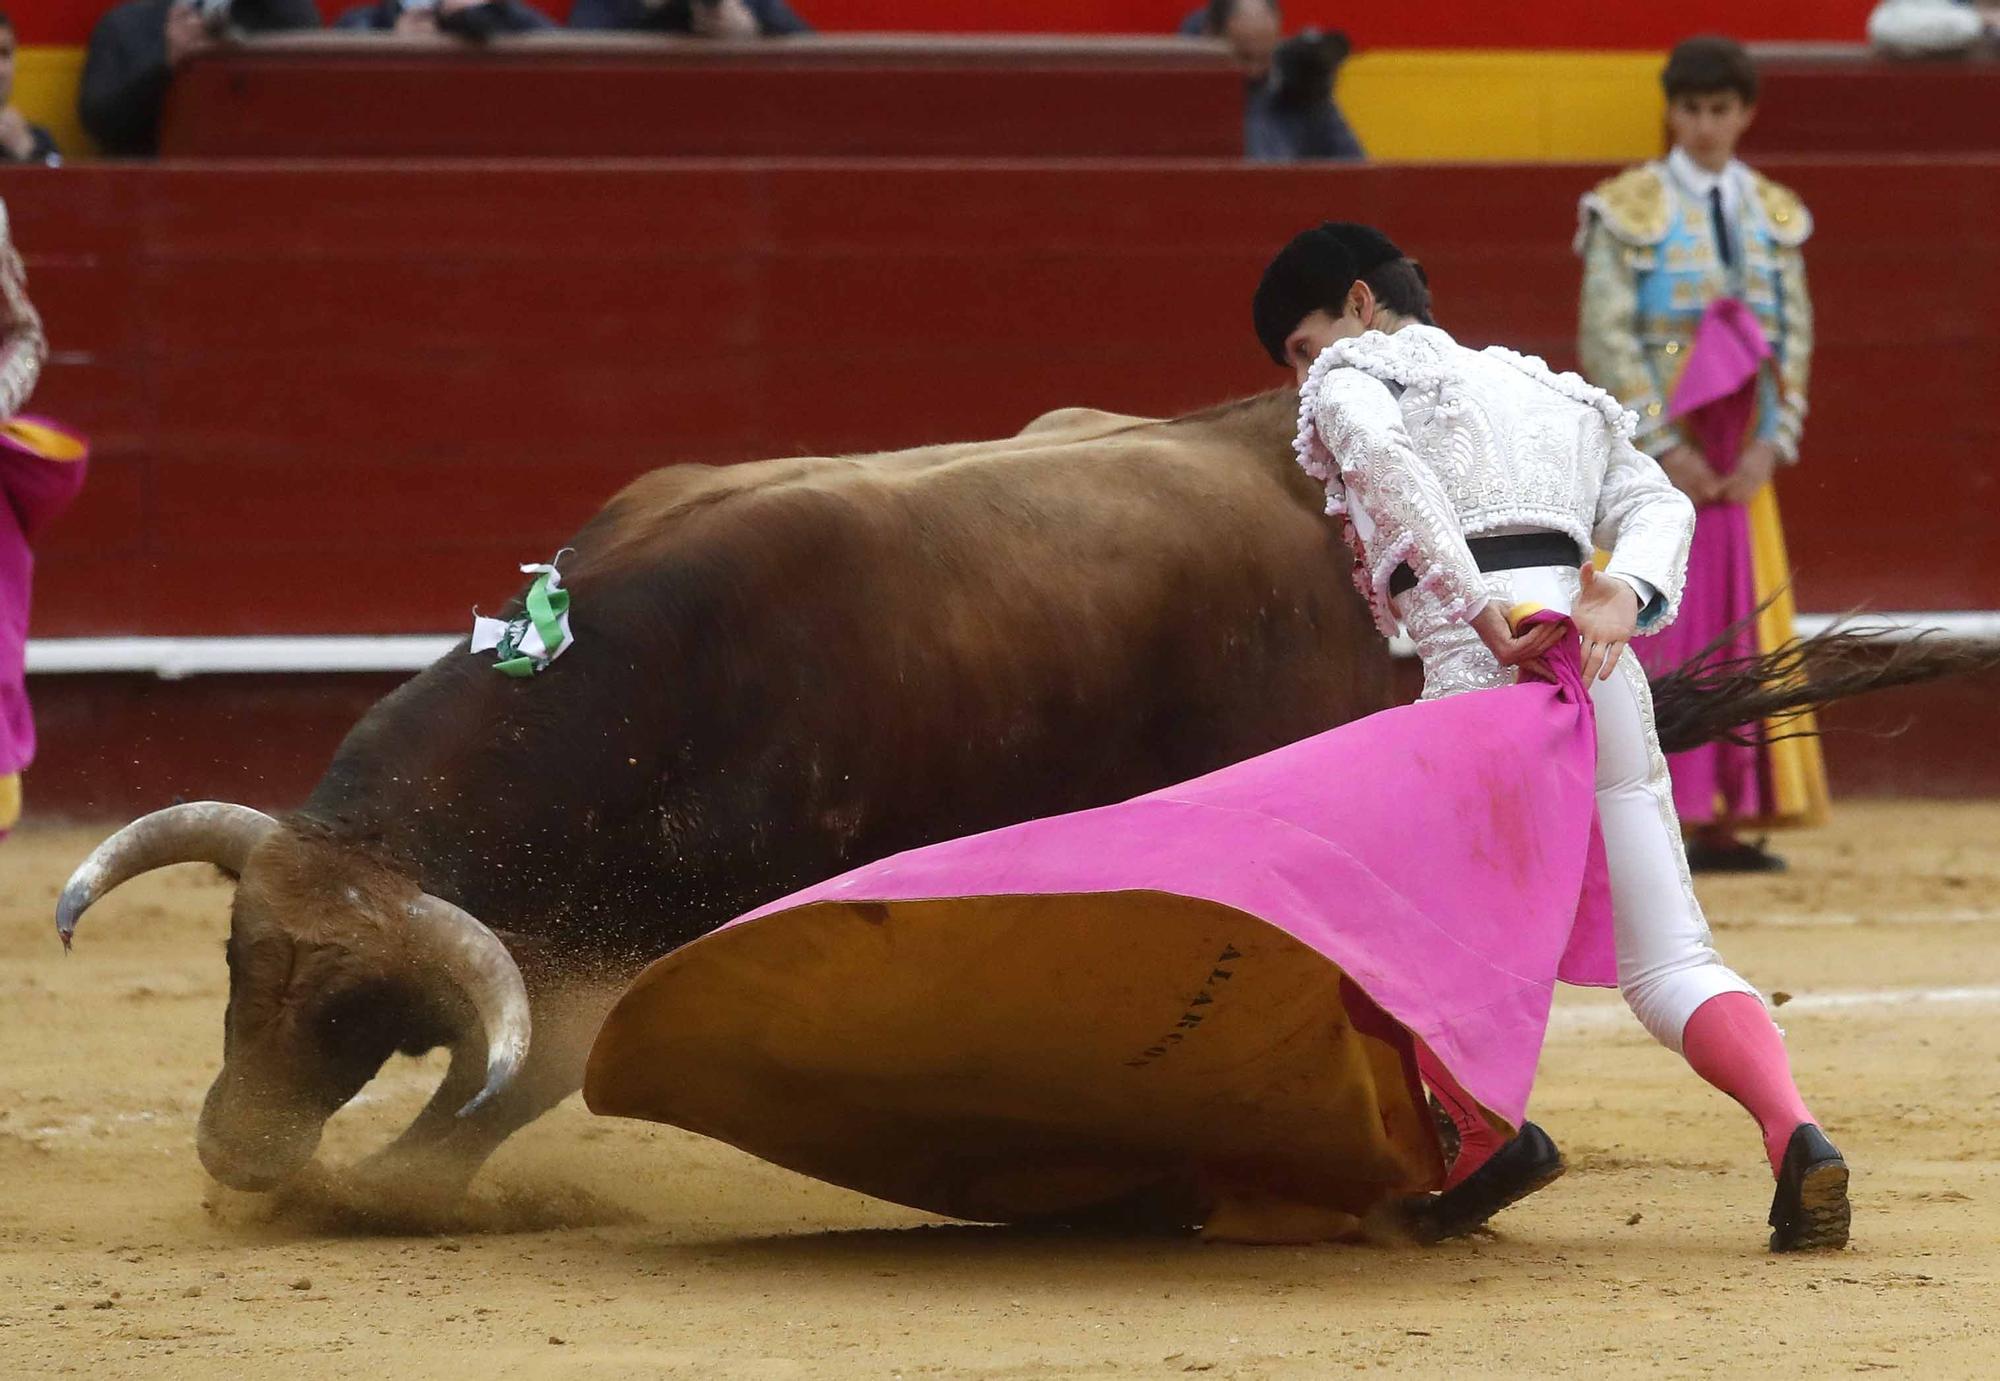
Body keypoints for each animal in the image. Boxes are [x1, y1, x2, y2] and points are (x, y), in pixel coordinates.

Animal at [54, 390, 1384, 1192]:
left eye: (353, 1009)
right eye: (234, 959)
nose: (236, 1153)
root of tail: (1274, 447)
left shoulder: (639, 943)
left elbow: (530, 1069)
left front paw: (388, 1189)